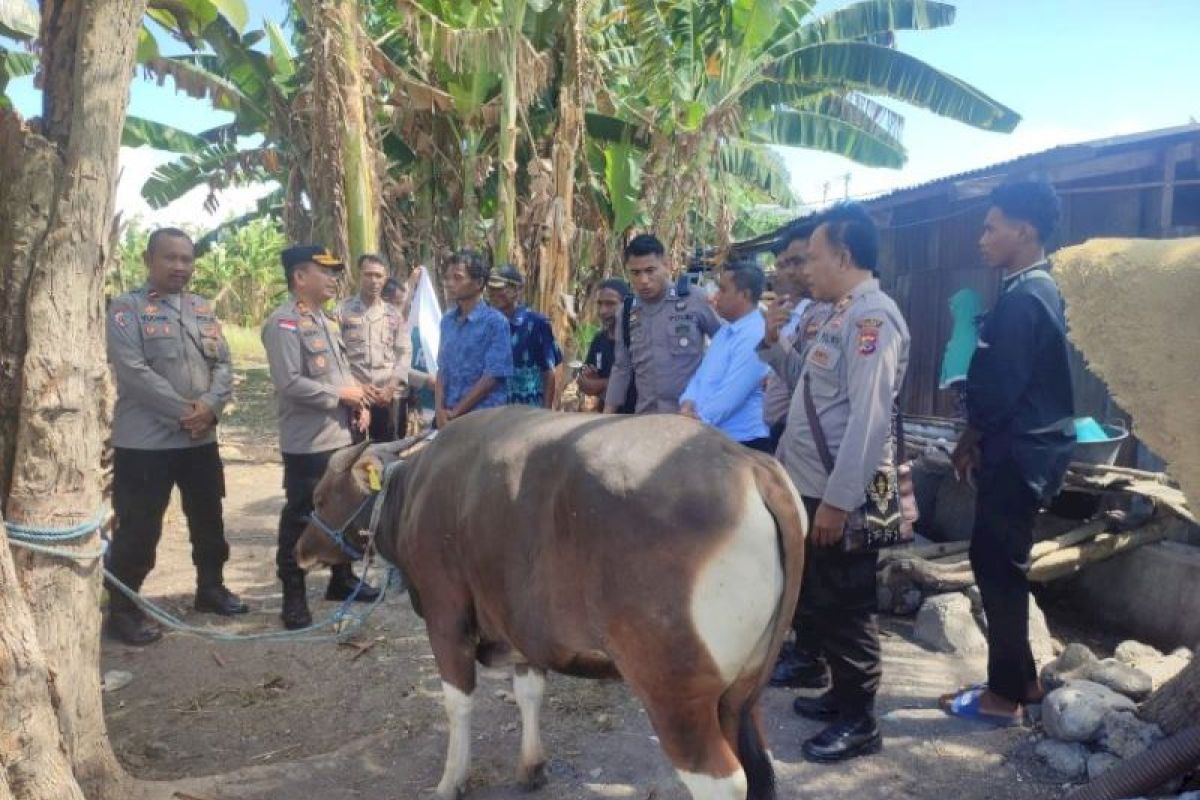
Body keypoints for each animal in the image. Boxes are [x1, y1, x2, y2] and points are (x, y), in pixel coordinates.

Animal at [296, 407, 806, 800]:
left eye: (319, 496)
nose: (301, 551)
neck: (412, 495)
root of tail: (750, 465)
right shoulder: (522, 630)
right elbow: (529, 692)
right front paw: (532, 767)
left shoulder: (446, 618)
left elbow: (457, 704)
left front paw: (450, 780)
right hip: (742, 691)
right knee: (759, 762)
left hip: (676, 696)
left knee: (723, 781)